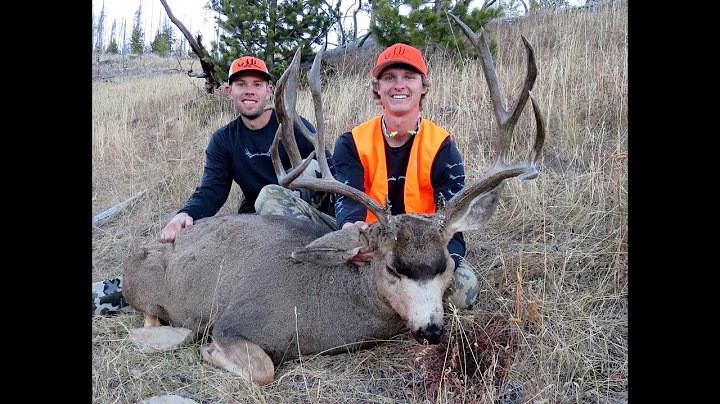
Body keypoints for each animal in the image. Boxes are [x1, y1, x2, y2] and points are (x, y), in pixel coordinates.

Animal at [121, 15, 545, 386]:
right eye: (392, 268)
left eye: (444, 266)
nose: (432, 330)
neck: (323, 303)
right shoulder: (233, 321)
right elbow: (263, 369)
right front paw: (207, 350)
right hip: (142, 287)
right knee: (150, 316)